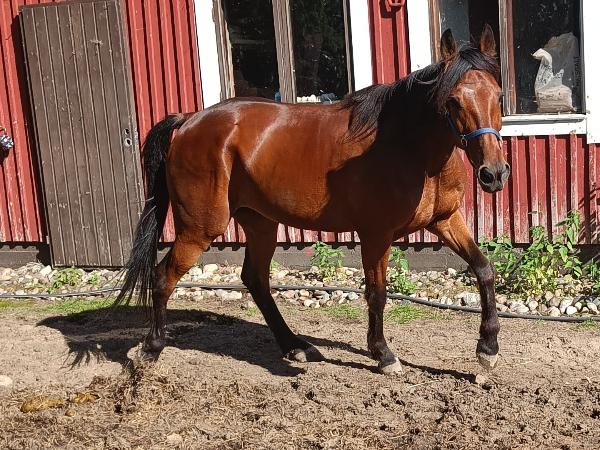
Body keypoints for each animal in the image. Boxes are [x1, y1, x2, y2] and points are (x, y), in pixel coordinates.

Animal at [117, 25, 509, 375]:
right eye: (453, 100)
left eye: (499, 95)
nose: (494, 174)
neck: (409, 147)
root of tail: (188, 121)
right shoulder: (376, 234)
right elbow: (377, 292)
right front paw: (383, 355)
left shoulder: (445, 219)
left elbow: (484, 269)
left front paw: (488, 350)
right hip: (199, 227)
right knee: (163, 277)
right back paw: (150, 350)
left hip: (260, 223)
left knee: (255, 279)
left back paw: (295, 346)